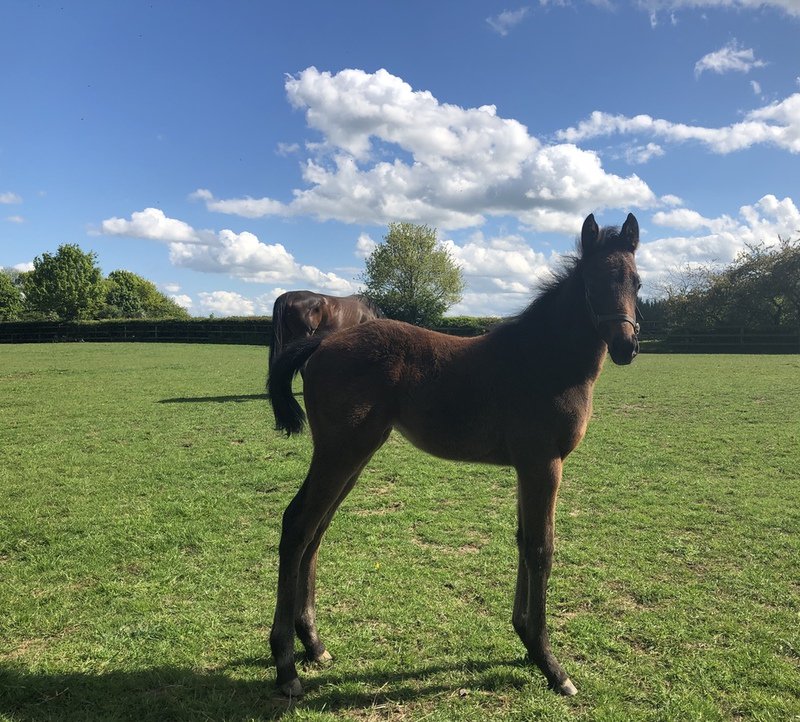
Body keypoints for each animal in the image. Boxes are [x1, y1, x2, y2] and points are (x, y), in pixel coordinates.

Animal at [267, 213, 642, 698]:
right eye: (593, 283)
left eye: (637, 282)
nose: (625, 346)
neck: (543, 359)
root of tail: (325, 342)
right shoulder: (543, 463)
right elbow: (541, 547)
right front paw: (551, 665)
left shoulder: (527, 467)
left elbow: (523, 540)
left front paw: (526, 641)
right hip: (340, 452)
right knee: (298, 525)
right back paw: (286, 666)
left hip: (355, 453)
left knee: (316, 530)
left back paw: (313, 644)